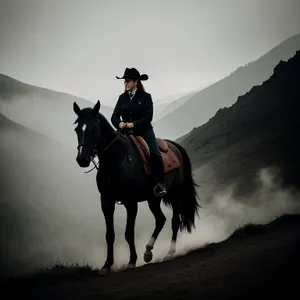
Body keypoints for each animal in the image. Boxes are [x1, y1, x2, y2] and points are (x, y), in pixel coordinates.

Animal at [72, 100, 199, 274]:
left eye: (94, 129)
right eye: (77, 129)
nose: (82, 159)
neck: (116, 161)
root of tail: (174, 146)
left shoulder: (130, 202)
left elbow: (129, 232)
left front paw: (132, 261)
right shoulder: (106, 202)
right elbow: (109, 234)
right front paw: (107, 265)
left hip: (175, 194)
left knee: (175, 221)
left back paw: (169, 253)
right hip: (153, 199)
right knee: (161, 219)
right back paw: (148, 251)